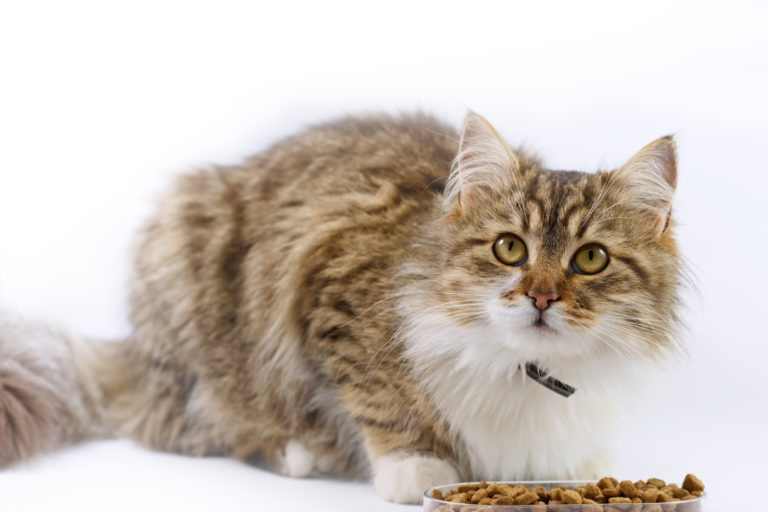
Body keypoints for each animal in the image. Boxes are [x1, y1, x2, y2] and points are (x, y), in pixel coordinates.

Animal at [0, 112, 684, 504]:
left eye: (590, 259)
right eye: (509, 248)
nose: (541, 297)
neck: (522, 368)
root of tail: (136, 353)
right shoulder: (335, 292)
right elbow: (381, 399)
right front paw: (415, 468)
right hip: (189, 289)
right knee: (187, 425)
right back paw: (299, 450)